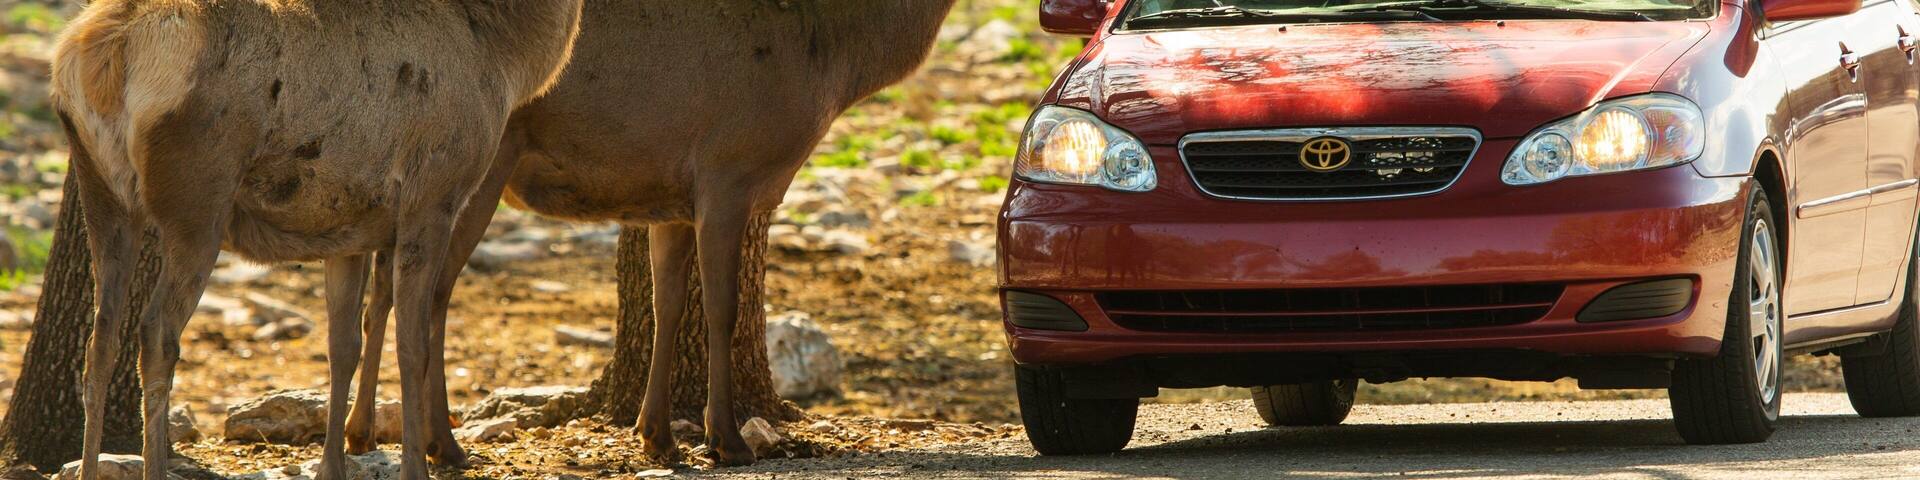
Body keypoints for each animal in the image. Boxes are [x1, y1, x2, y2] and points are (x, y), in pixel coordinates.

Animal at [48, 1, 582, 479]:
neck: (503, 57)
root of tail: (103, 52)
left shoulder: (347, 227)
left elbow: (342, 345)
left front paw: (333, 467)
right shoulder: (433, 200)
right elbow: (414, 347)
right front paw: (414, 467)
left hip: (103, 191)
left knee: (101, 336)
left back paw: (89, 470)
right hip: (197, 197)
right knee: (156, 330)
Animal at [338, 0, 962, 467]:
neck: (829, 63)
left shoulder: (672, 198)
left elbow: (668, 306)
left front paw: (657, 436)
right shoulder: (727, 171)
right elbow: (721, 309)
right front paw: (726, 441)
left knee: (383, 292)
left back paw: (362, 431)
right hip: (477, 168)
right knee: (432, 296)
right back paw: (443, 446)